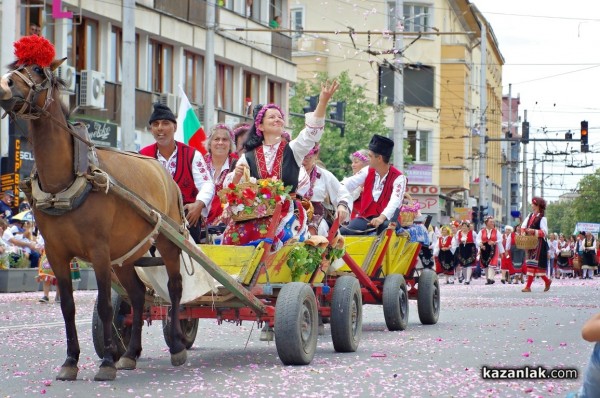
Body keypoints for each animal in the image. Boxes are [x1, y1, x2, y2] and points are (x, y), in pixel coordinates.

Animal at [0, 57, 188, 378]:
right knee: (137, 295)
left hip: (166, 240)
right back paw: (131, 353)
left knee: (175, 288)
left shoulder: (99, 251)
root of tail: (165, 173)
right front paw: (71, 361)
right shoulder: (57, 252)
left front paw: (107, 362)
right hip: (126, 254)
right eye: (17, 65)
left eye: (36, 70)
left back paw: (177, 345)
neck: (65, 182)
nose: (4, 84)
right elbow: (68, 306)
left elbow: (104, 307)